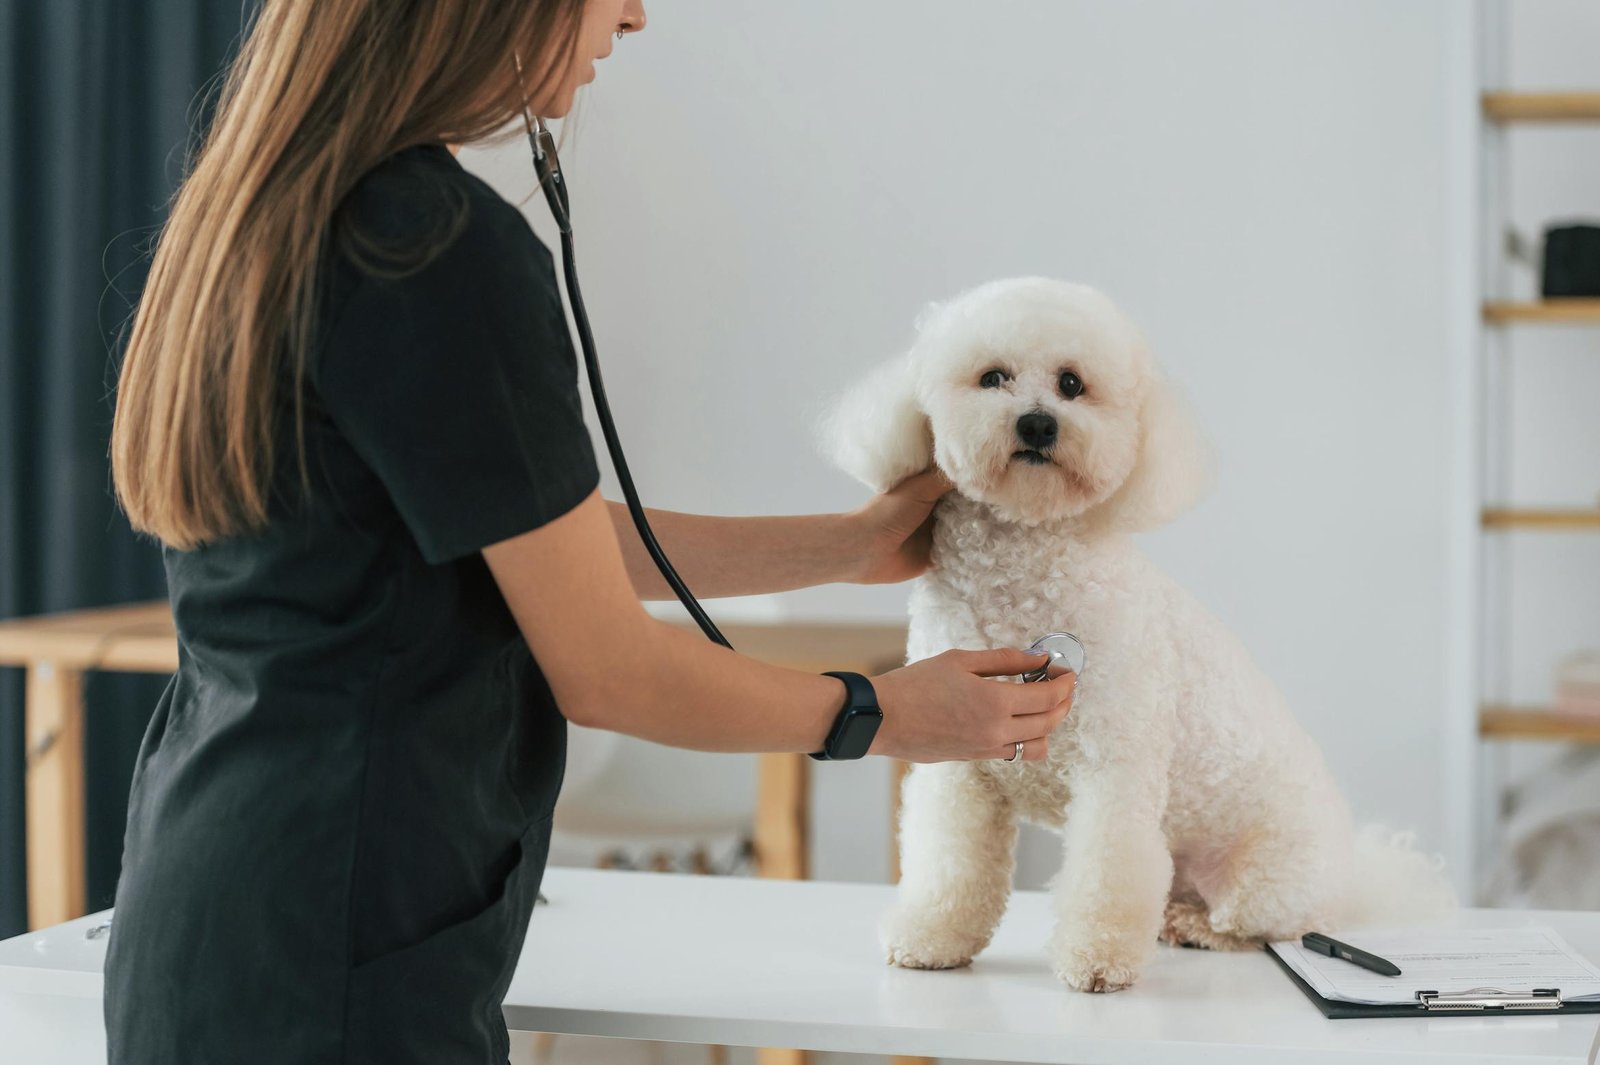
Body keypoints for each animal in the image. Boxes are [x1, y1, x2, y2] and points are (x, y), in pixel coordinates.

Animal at [819, 278, 1459, 991]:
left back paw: (1195, 927)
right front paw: (932, 938)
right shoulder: (961, 762)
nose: (1038, 423)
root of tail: (1357, 875)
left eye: (1072, 384)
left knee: (1263, 928)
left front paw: (1097, 959)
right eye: (993, 377)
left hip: (1266, 878)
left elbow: (1107, 870)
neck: (1023, 560)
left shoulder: (1115, 766)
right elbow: (948, 863)